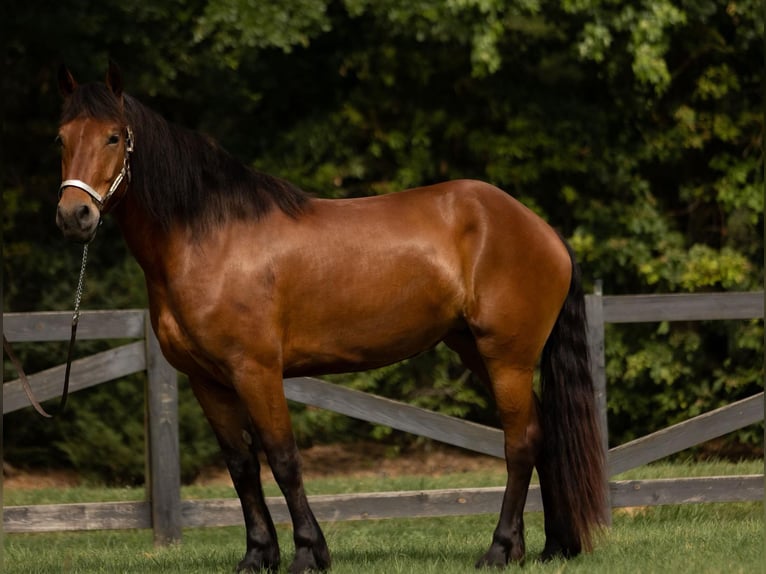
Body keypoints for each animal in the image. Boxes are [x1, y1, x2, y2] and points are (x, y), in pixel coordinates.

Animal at [54, 60, 608, 572]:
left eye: (113, 136)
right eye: (61, 138)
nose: (74, 216)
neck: (210, 238)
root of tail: (543, 230)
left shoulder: (255, 370)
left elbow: (282, 459)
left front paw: (307, 553)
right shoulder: (207, 381)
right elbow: (241, 466)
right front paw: (257, 556)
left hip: (506, 356)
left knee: (522, 442)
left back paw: (498, 549)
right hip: (475, 349)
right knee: (542, 434)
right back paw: (547, 547)